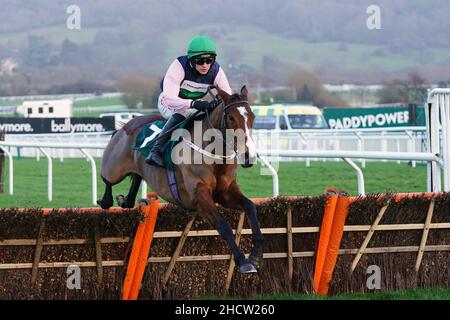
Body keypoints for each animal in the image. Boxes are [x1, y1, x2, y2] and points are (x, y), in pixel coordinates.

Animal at [96, 86, 262, 274]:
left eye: (252, 116)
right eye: (231, 117)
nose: (249, 156)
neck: (212, 153)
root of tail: (125, 126)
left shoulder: (226, 193)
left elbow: (250, 207)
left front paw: (256, 255)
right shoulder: (199, 197)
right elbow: (223, 225)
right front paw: (244, 261)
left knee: (136, 179)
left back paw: (125, 200)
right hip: (114, 168)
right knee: (107, 181)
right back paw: (106, 200)